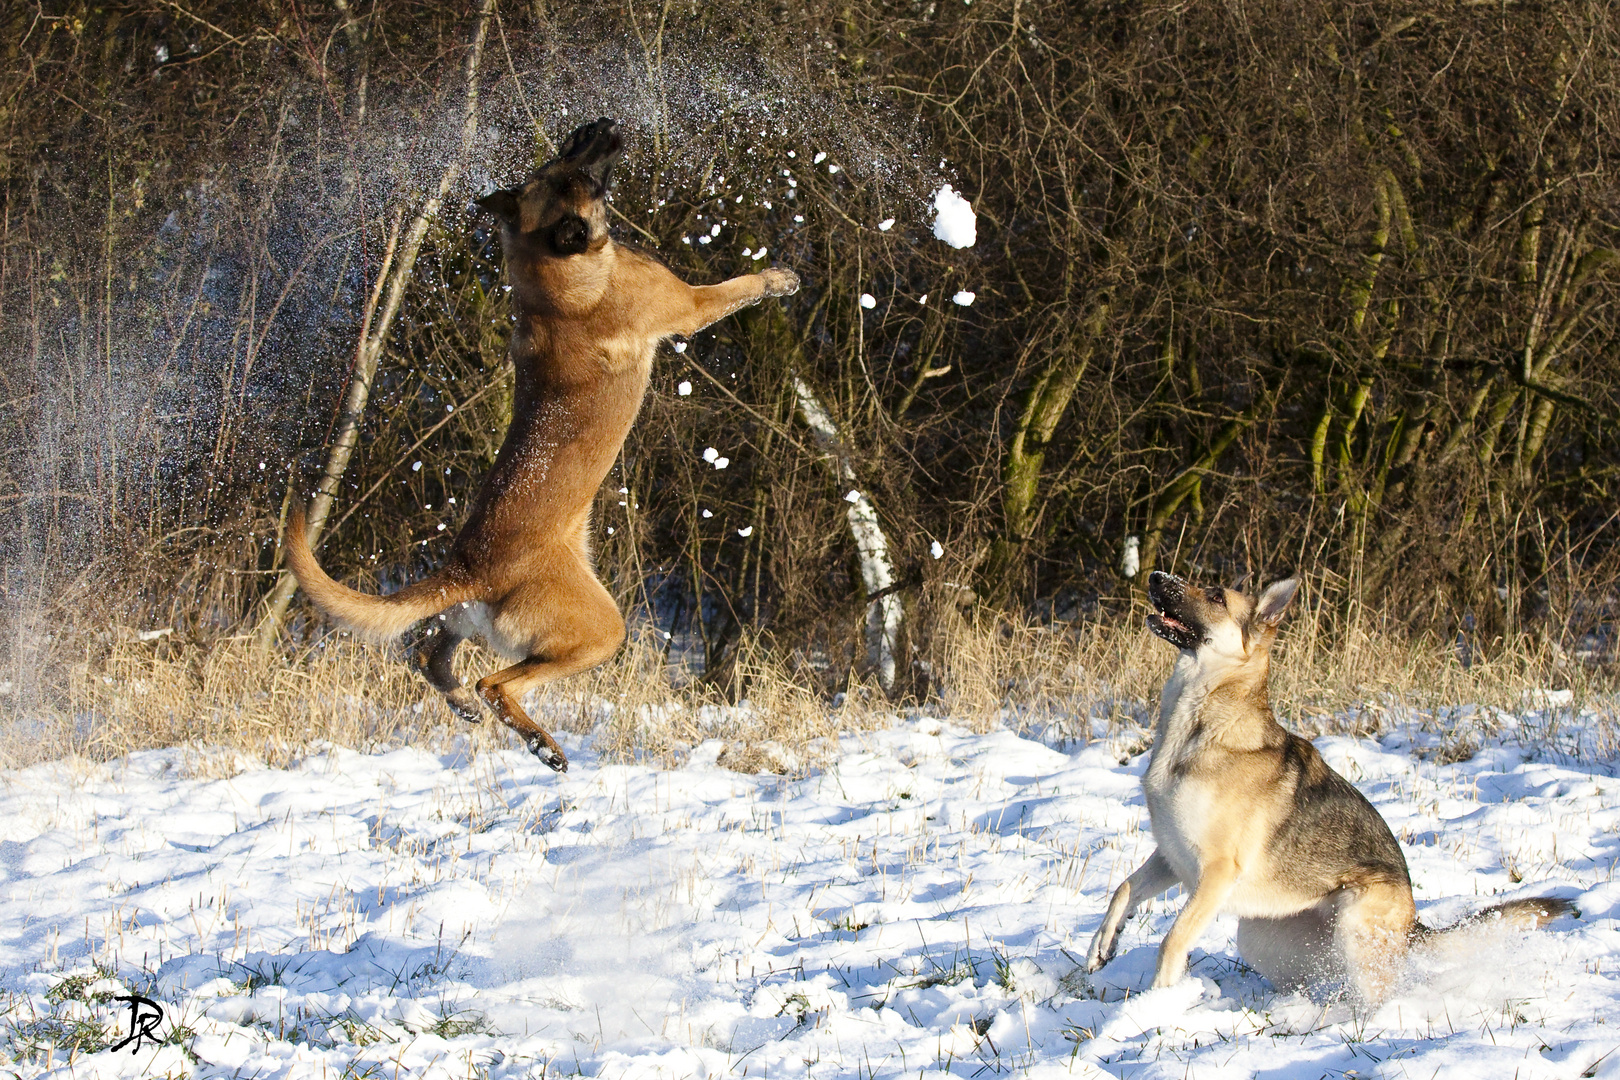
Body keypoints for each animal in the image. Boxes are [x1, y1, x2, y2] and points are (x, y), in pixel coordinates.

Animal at [289, 118, 803, 767]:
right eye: (579, 173)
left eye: (557, 161)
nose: (598, 125)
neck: (551, 275)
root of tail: (468, 570)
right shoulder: (688, 303)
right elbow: (737, 285)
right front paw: (779, 278)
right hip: (602, 628)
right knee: (497, 682)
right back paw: (541, 743)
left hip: (464, 622)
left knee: (429, 655)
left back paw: (466, 705)